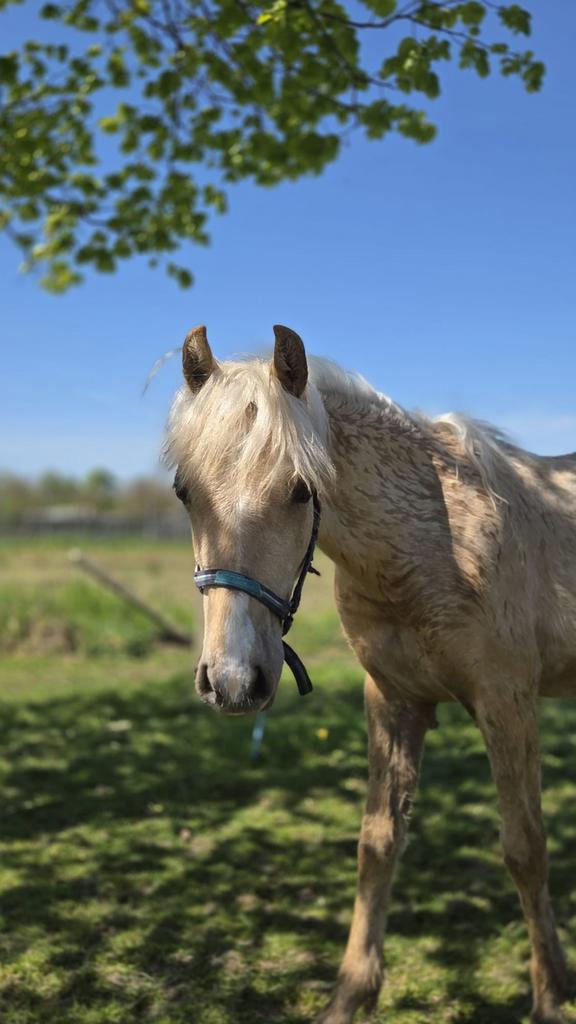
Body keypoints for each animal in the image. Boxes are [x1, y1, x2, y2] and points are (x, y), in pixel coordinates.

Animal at [165, 323, 576, 1024]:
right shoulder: (392, 701)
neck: (433, 546)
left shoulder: (507, 702)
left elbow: (526, 848)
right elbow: (377, 842)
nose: (234, 681)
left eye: (301, 490)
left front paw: (550, 995)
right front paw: (351, 993)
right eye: (184, 492)